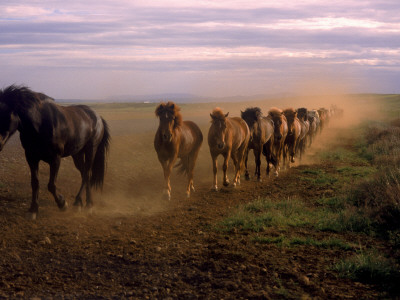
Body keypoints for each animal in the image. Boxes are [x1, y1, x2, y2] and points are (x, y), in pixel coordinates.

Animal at [0, 85, 110, 219]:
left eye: (5, 115)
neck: (40, 123)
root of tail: (98, 117)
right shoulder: (31, 157)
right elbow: (35, 183)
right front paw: (33, 210)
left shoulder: (55, 159)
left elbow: (51, 185)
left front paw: (62, 204)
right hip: (77, 154)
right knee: (84, 173)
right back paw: (80, 202)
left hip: (91, 150)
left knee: (87, 174)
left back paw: (87, 205)